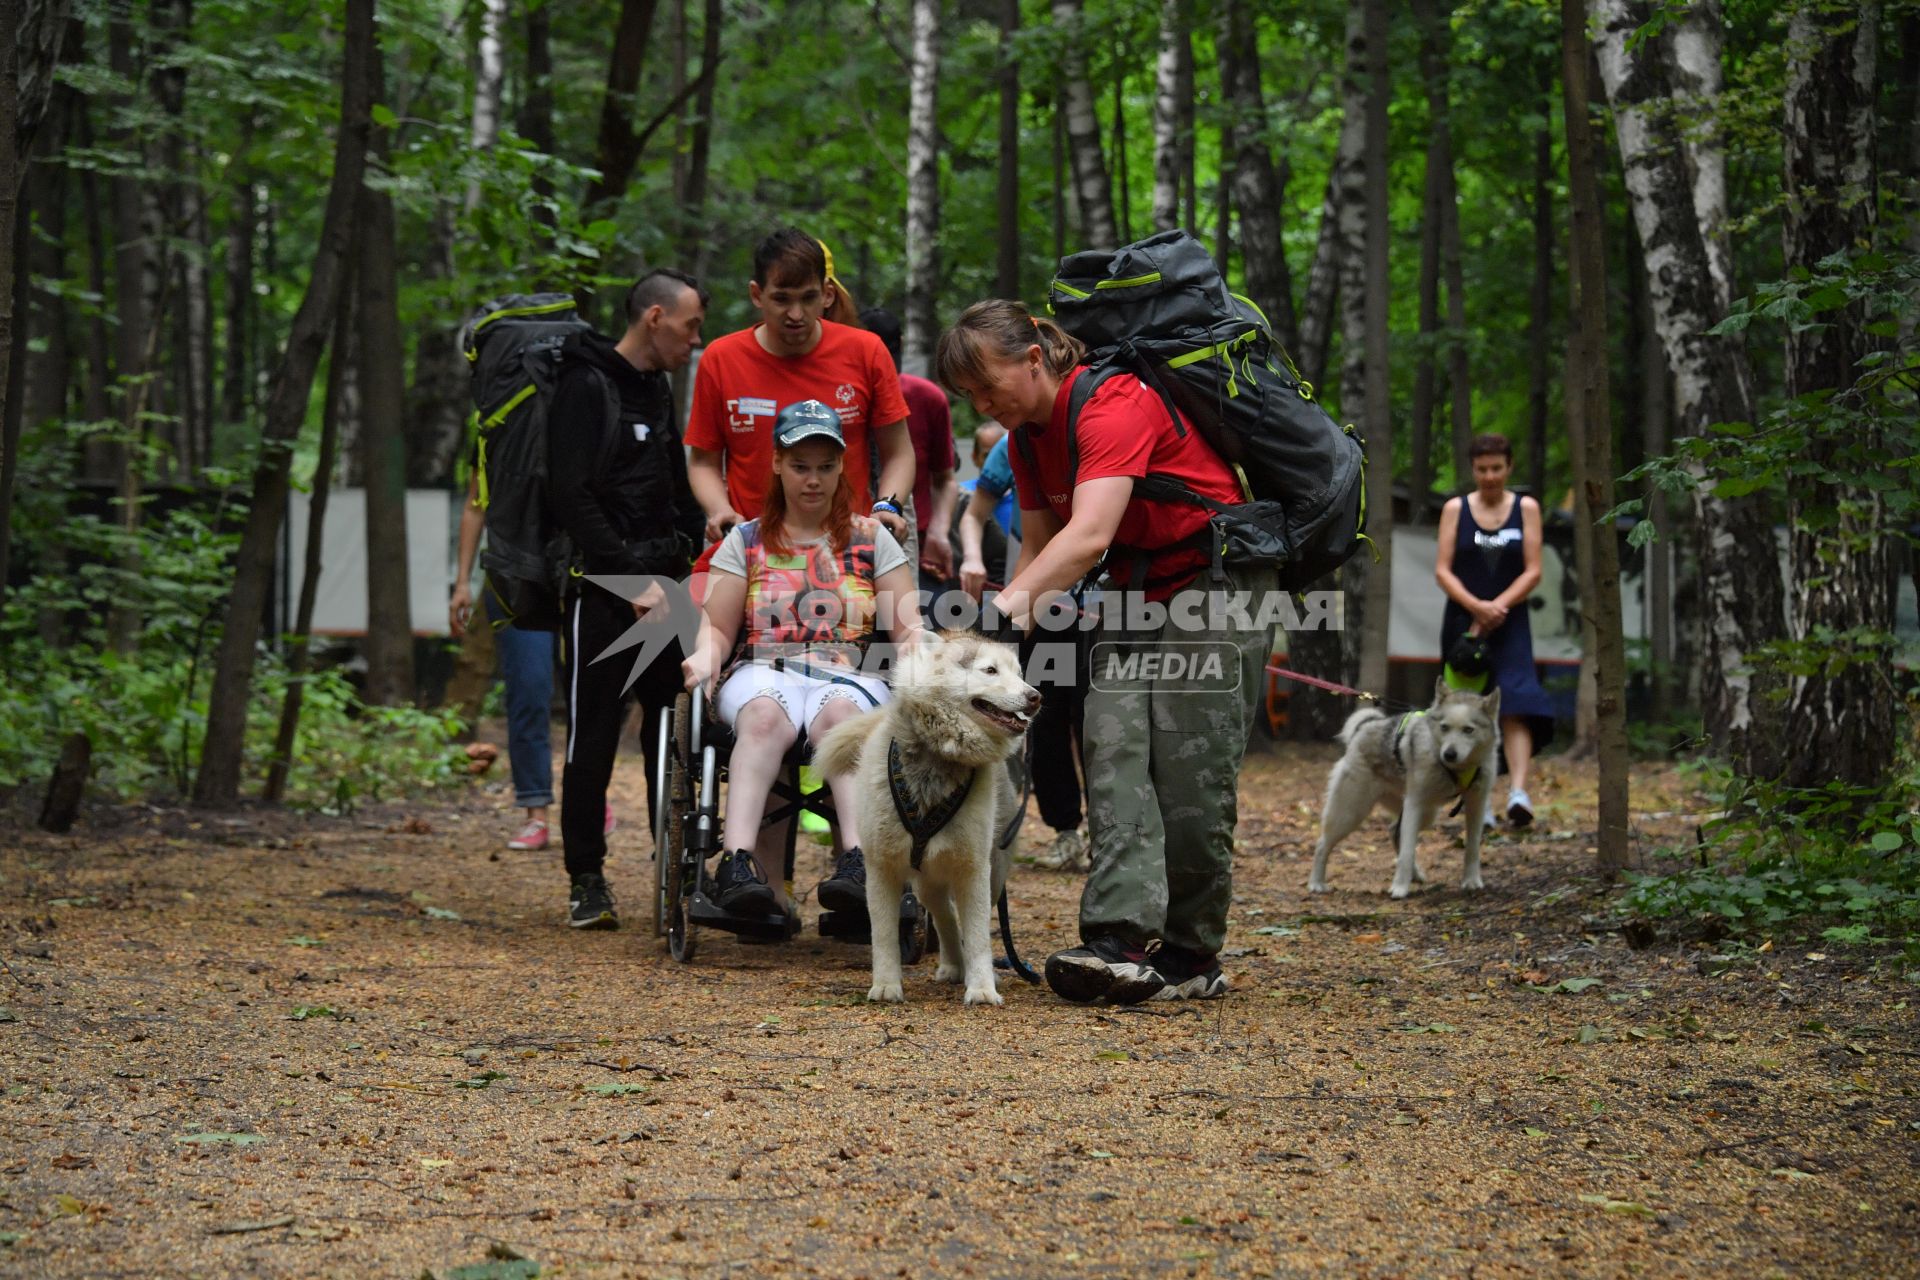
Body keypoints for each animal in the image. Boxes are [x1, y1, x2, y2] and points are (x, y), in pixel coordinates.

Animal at [817, 637, 1044, 1005]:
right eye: (990, 670)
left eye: (1020, 673)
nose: (1035, 696)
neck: (939, 759)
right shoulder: (881, 869)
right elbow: (884, 936)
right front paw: (886, 985)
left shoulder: (973, 870)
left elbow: (978, 936)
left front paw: (982, 988)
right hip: (926, 886)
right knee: (946, 918)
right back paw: (952, 966)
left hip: (992, 876)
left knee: (960, 921)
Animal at [1305, 679, 1497, 901]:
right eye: (1444, 727)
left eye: (1468, 730)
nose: (1449, 754)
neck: (1457, 768)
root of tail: (1364, 728)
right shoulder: (1415, 803)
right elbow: (1407, 851)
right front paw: (1399, 888)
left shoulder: (1476, 803)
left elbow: (1472, 847)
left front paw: (1471, 881)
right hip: (1350, 813)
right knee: (1322, 844)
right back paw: (1316, 883)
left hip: (1426, 812)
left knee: (1394, 831)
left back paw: (1415, 874)